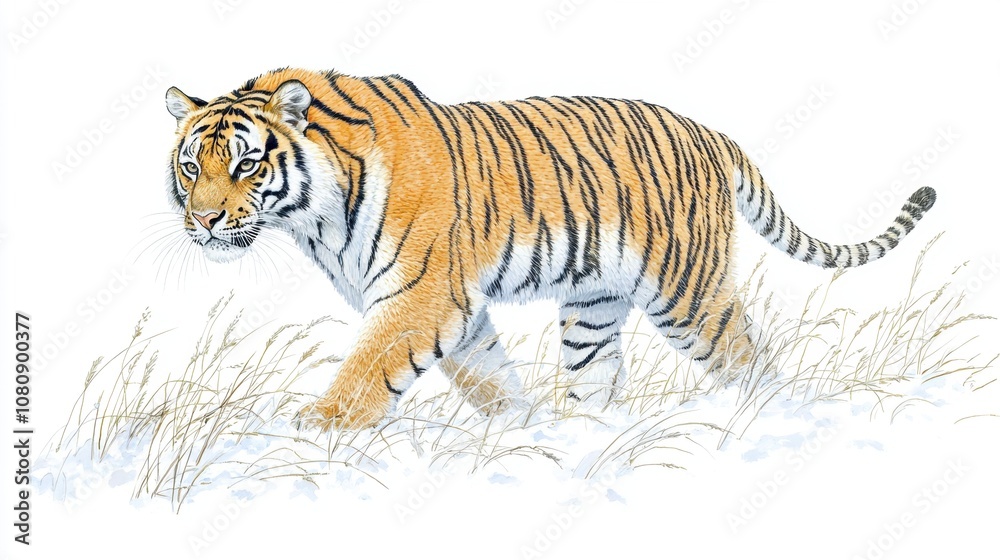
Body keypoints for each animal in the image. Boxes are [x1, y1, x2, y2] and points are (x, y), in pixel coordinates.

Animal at [163, 67, 936, 430]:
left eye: (247, 164)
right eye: (191, 167)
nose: (203, 221)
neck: (312, 217)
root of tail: (712, 134)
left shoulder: (420, 295)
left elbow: (365, 372)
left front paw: (313, 432)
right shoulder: (453, 305)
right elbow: (489, 377)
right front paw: (521, 431)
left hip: (687, 292)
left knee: (747, 355)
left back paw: (766, 416)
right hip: (594, 305)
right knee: (601, 378)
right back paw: (588, 433)